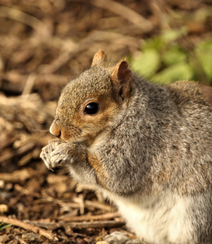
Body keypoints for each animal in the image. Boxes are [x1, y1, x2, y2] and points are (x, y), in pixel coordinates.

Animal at [40, 49, 212, 244]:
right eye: (65, 90)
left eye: (91, 108)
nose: (55, 131)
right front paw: (49, 149)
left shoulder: (139, 146)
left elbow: (113, 176)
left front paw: (70, 151)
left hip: (195, 216)